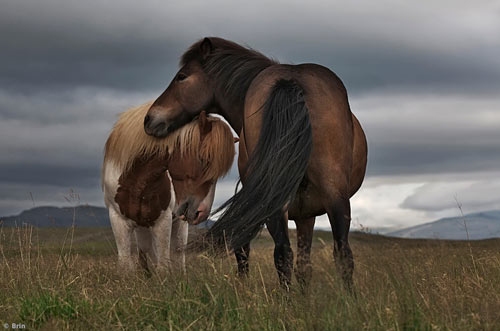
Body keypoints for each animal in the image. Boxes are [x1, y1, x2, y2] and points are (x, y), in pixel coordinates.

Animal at [102, 104, 235, 272]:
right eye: (205, 159)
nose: (202, 213)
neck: (135, 182)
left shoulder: (163, 221)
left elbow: (164, 265)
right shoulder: (118, 219)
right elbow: (127, 264)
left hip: (178, 224)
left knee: (177, 256)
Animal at [145, 37, 368, 290]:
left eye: (181, 76)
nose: (149, 119)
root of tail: (291, 80)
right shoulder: (304, 215)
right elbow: (304, 266)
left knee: (288, 255)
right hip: (329, 196)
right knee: (335, 254)